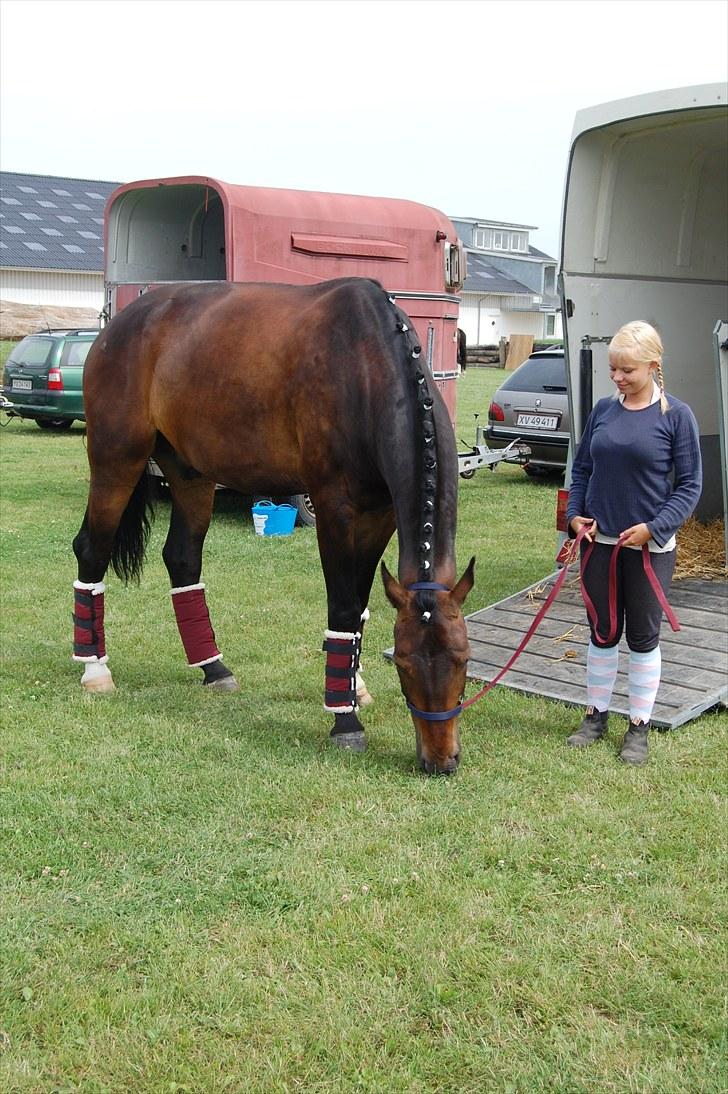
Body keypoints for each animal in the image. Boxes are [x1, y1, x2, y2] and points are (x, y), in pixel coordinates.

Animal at [71, 282, 475, 778]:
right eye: (403, 664)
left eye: (463, 661)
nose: (441, 760)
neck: (366, 366)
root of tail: (119, 325)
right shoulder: (333, 506)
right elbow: (343, 607)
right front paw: (344, 720)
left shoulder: (380, 513)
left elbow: (360, 606)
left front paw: (354, 685)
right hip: (117, 459)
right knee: (92, 550)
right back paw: (95, 669)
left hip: (190, 473)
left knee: (182, 557)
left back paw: (214, 668)